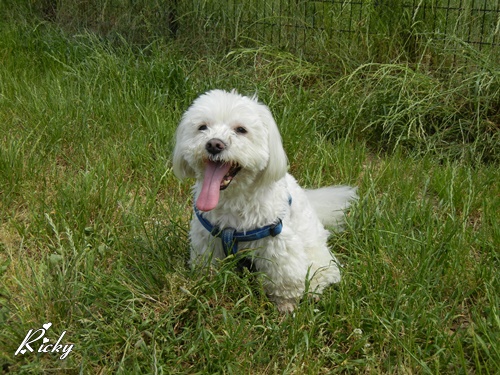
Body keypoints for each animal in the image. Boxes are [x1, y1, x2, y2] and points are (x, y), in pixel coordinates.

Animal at [172, 89, 356, 312]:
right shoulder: (207, 239)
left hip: (316, 253)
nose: (214, 144)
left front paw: (286, 305)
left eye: (241, 130)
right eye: (202, 127)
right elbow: (207, 267)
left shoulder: (278, 242)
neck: (234, 201)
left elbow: (284, 279)